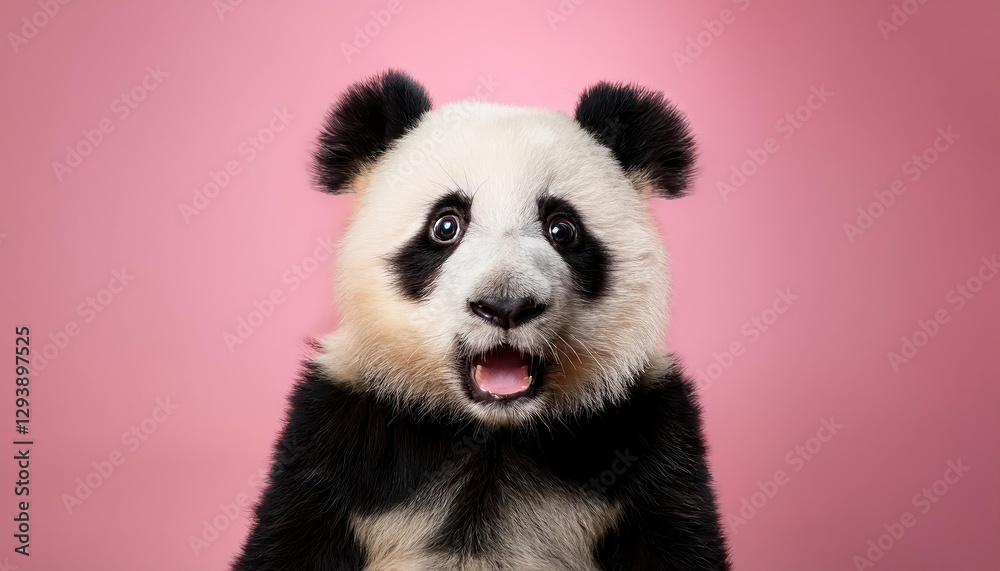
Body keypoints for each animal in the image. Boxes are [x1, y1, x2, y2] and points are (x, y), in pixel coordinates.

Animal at [233, 70, 731, 571]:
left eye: (562, 228)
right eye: (446, 225)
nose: (506, 305)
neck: (492, 433)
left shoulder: (648, 442)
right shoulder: (337, 439)